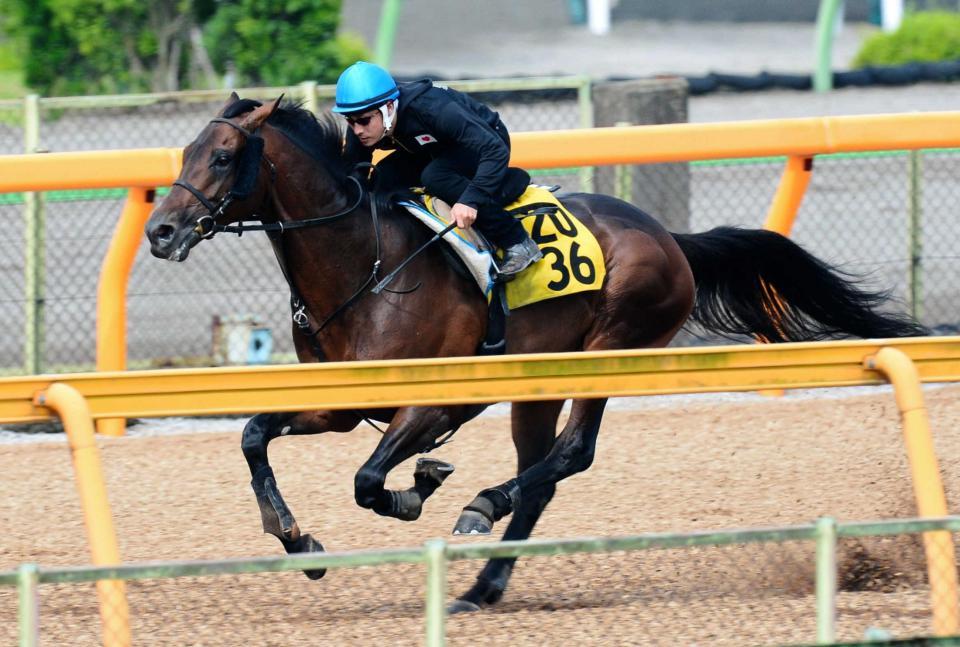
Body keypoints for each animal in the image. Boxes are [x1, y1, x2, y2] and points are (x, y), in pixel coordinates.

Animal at [146, 95, 928, 612]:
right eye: (182, 154)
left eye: (222, 157)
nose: (159, 231)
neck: (366, 265)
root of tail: (671, 237)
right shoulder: (344, 402)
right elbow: (254, 435)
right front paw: (297, 538)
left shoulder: (433, 400)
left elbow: (369, 481)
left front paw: (418, 487)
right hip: (538, 382)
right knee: (543, 475)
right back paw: (482, 583)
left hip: (609, 350)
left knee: (571, 454)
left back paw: (480, 509)